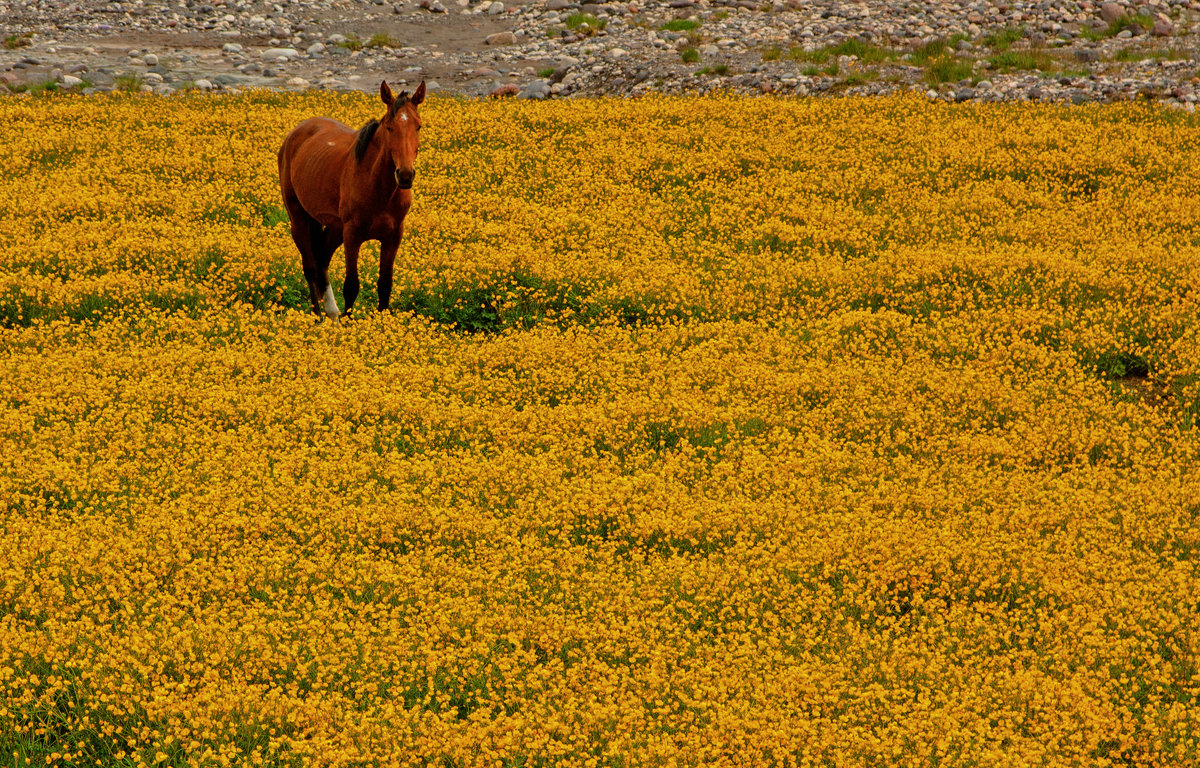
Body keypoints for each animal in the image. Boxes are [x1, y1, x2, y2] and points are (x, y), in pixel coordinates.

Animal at [276, 78, 427, 316]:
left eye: (418, 126)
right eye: (390, 127)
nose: (404, 175)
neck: (380, 190)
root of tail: (296, 133)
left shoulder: (393, 236)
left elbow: (385, 285)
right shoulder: (352, 234)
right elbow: (351, 286)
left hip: (334, 228)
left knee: (321, 260)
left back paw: (332, 314)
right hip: (299, 219)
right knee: (310, 267)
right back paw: (319, 317)